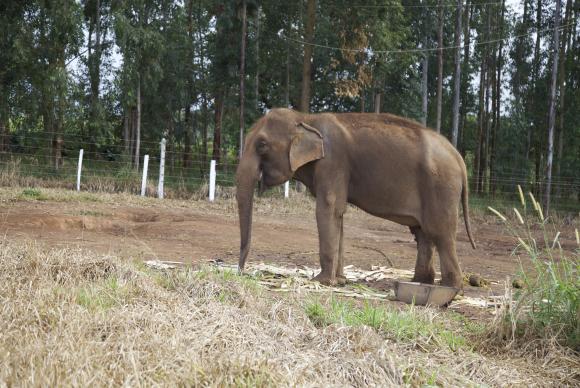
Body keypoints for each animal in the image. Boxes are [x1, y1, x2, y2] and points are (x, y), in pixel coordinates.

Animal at [236, 107, 476, 290]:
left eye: (262, 145)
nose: (240, 272)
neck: (306, 118)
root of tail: (458, 157)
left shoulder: (333, 162)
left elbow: (327, 209)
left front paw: (322, 281)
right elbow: (339, 214)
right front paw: (340, 280)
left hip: (441, 187)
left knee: (440, 233)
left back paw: (449, 288)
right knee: (422, 234)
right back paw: (420, 282)